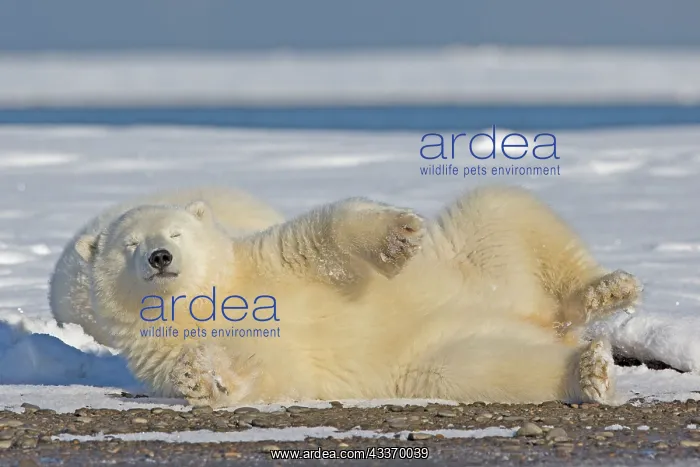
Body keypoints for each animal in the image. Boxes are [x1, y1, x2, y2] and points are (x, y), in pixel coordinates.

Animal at [73, 185, 642, 408]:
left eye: (175, 233)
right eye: (129, 244)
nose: (159, 258)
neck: (206, 300)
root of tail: (535, 318)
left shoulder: (268, 263)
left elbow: (324, 234)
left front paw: (399, 235)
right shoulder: (162, 347)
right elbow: (261, 371)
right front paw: (202, 376)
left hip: (479, 260)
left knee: (504, 209)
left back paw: (606, 290)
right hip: (438, 351)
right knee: (496, 366)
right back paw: (589, 370)